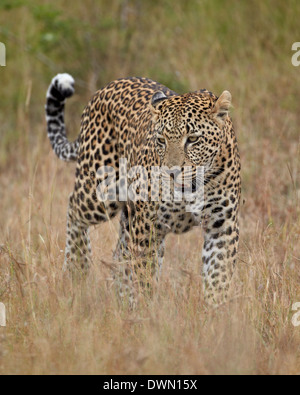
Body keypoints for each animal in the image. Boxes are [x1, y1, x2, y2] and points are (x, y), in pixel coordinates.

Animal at [45, 73, 241, 306]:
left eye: (193, 139)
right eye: (161, 140)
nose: (171, 172)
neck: (192, 188)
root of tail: (106, 87)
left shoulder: (221, 226)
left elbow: (218, 276)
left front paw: (214, 311)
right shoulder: (148, 226)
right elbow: (145, 275)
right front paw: (147, 310)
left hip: (128, 216)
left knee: (120, 254)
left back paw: (121, 299)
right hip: (101, 193)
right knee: (74, 209)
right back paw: (77, 267)